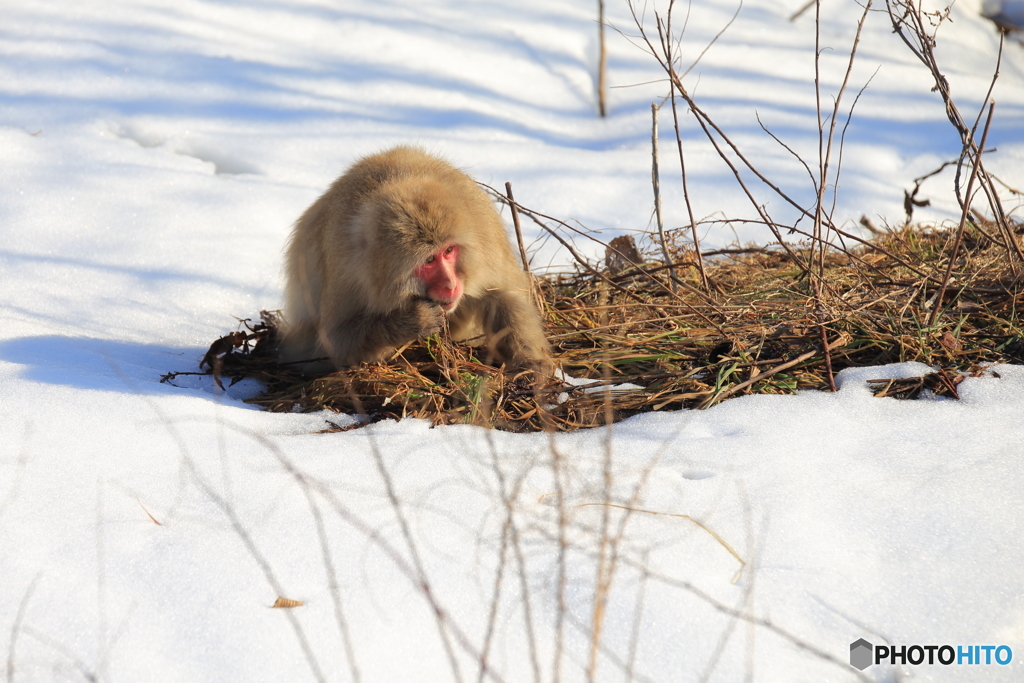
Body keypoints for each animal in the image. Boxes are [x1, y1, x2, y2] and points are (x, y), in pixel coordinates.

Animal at [278, 147, 552, 376]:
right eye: (429, 260)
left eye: (449, 250)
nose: (451, 284)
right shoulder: (345, 269)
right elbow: (332, 344)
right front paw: (410, 321)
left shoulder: (484, 234)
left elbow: (503, 295)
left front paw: (531, 363)